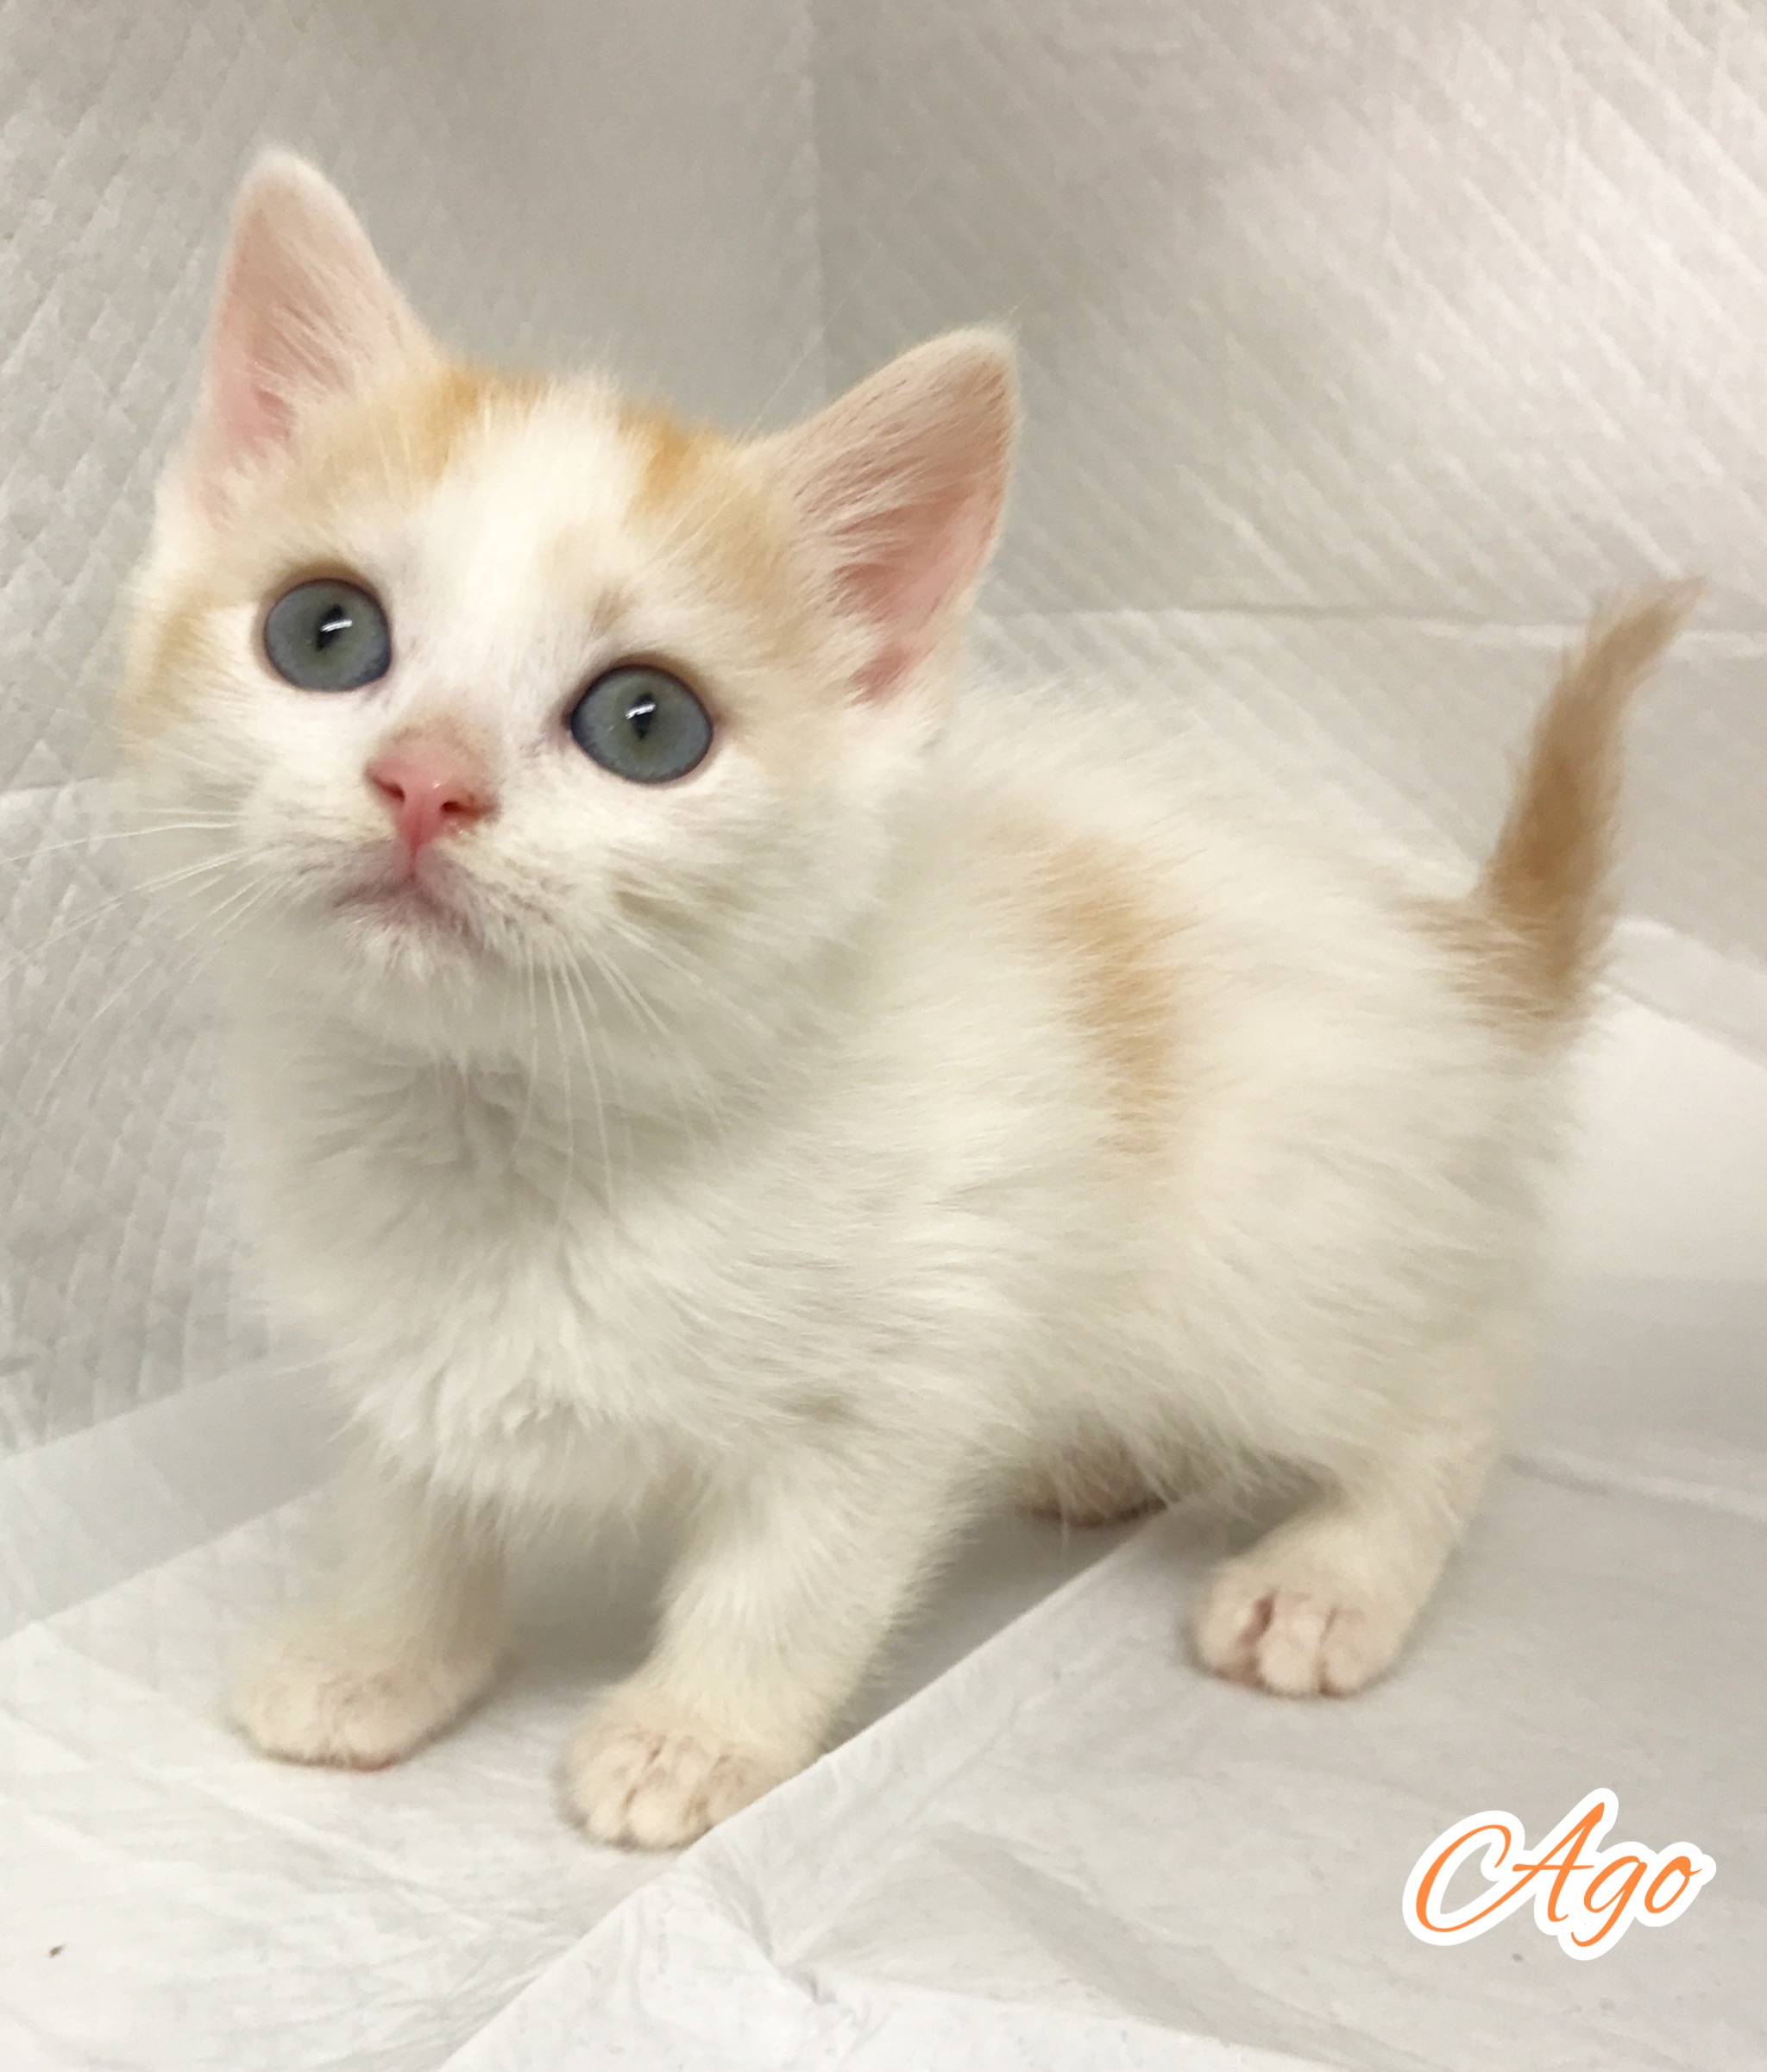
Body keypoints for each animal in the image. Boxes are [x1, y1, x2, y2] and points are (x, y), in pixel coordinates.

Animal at [118, 151, 1690, 1850]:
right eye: (322, 632)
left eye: (645, 724)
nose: (425, 781)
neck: (510, 1131)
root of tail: (1454, 945)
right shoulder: (394, 1352)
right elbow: (407, 1507)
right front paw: (377, 1655)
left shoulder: (902, 1354)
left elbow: (790, 1583)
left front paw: (693, 1738)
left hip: (1289, 1258)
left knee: (1453, 1379)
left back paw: (1334, 1575)